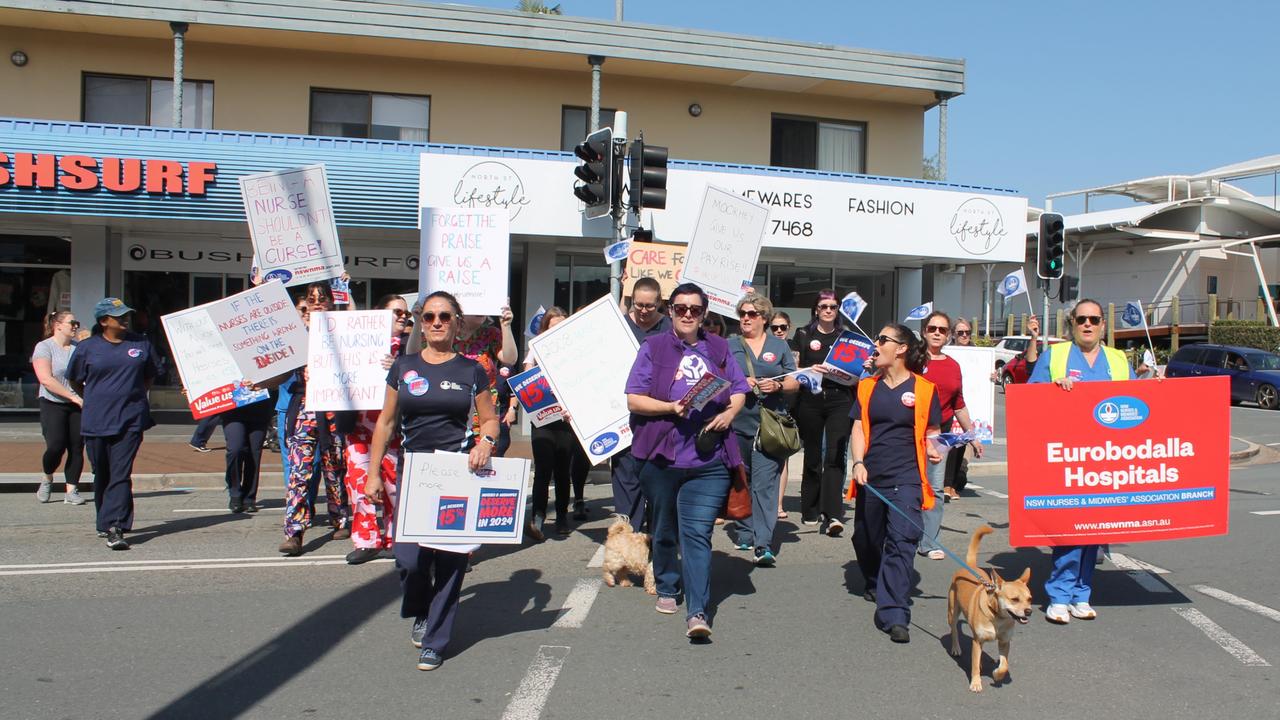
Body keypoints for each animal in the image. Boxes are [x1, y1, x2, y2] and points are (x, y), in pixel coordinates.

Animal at [947, 520, 1034, 691]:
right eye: (1014, 599)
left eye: (1030, 599)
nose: (1029, 611)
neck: (998, 618)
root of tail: (970, 566)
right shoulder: (977, 640)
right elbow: (974, 665)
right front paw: (975, 682)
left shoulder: (1004, 642)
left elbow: (1004, 665)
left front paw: (997, 674)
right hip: (953, 612)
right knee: (954, 630)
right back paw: (956, 648)